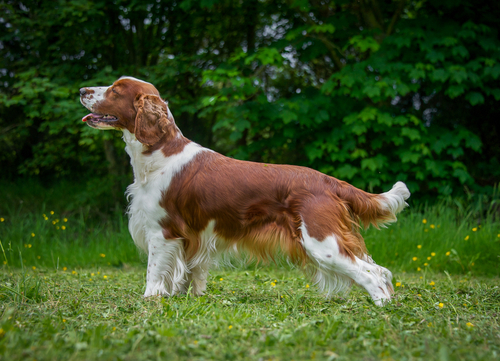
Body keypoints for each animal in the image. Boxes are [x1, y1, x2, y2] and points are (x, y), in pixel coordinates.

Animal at [81, 75, 410, 304]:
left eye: (115, 90)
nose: (82, 91)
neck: (159, 153)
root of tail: (329, 181)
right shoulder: (189, 238)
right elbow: (185, 273)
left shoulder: (161, 232)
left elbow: (153, 273)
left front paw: (150, 301)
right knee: (378, 270)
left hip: (322, 241)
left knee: (371, 273)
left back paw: (381, 306)